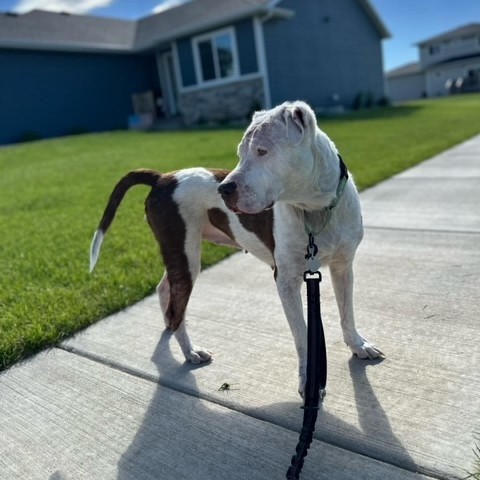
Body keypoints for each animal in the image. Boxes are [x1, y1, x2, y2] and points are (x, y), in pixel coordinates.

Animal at [89, 100, 382, 394]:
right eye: (241, 153)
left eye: (262, 151)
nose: (224, 189)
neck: (315, 210)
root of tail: (162, 178)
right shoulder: (286, 281)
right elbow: (302, 334)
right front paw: (308, 381)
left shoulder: (343, 267)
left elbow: (347, 312)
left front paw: (358, 345)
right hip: (184, 253)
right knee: (177, 308)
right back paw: (190, 351)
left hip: (178, 252)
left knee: (165, 290)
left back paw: (171, 330)